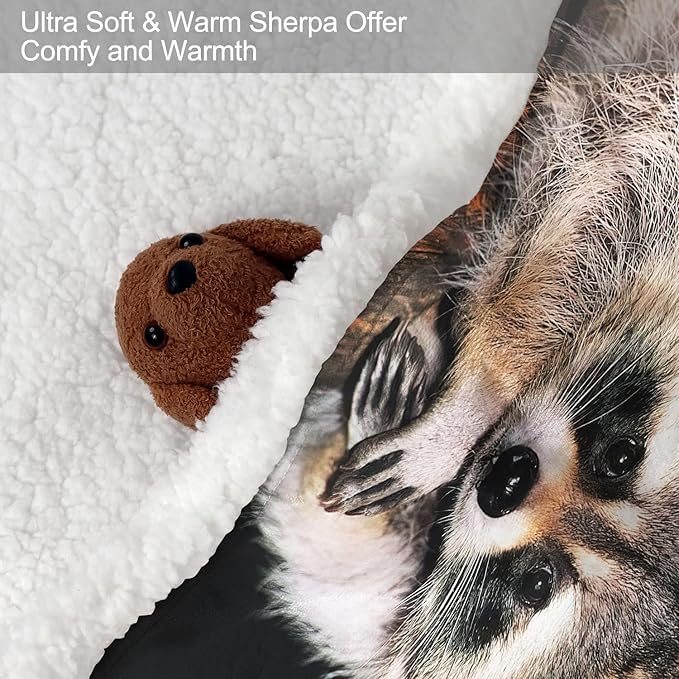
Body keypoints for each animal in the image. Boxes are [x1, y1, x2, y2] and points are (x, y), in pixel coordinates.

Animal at [260, 1, 679, 677]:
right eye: (620, 458)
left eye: (536, 583)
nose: (504, 478)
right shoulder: (649, 150)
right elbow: (589, 211)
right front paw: (469, 405)